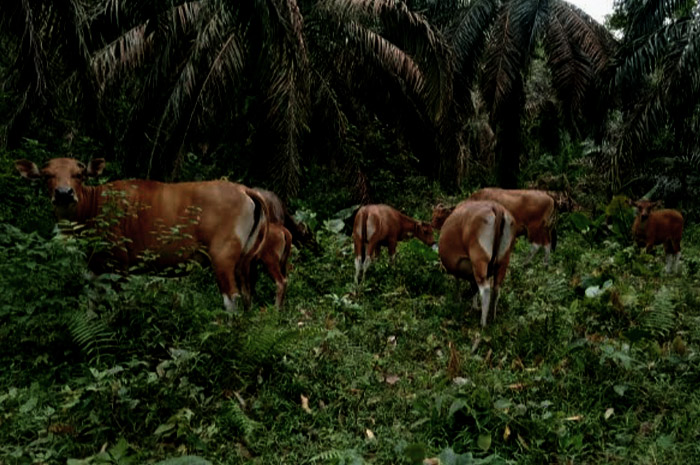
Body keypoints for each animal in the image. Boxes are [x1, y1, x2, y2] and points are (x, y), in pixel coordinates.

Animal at [16, 156, 270, 312]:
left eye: (79, 175)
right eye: (47, 175)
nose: (64, 193)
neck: (94, 207)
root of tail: (244, 189)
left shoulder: (120, 265)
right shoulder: (94, 267)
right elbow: (91, 304)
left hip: (222, 257)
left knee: (232, 299)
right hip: (245, 261)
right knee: (247, 296)